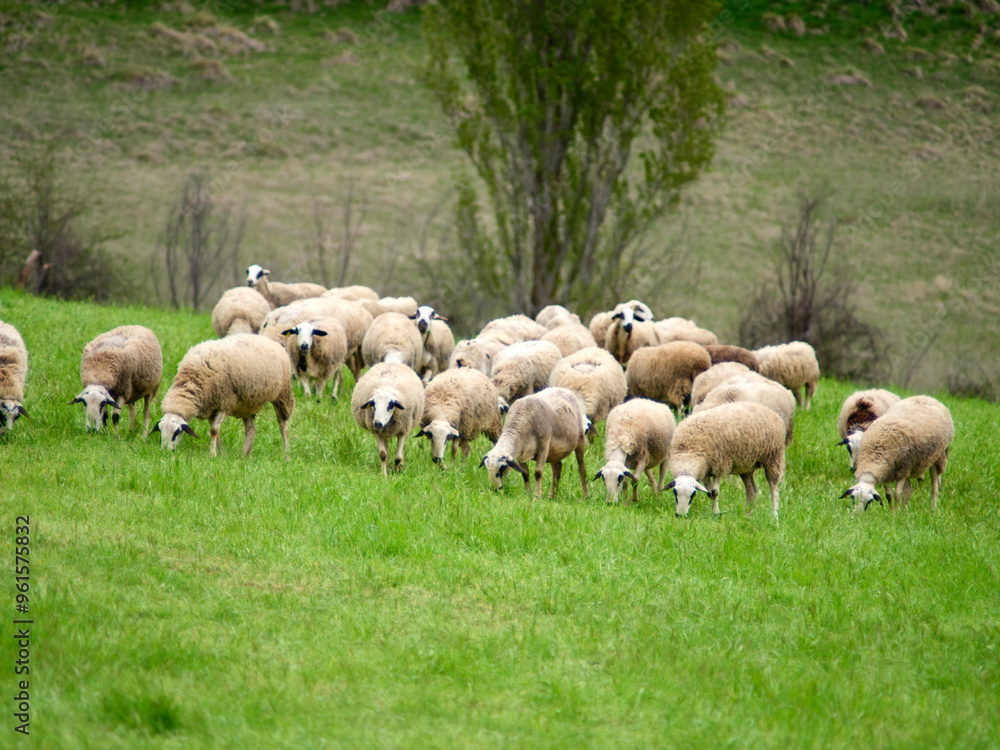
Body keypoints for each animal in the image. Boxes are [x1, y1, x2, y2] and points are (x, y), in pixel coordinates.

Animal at [154, 334, 294, 459]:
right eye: (160, 431)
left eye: (176, 432)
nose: (165, 452)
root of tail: (269, 340)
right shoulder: (211, 407)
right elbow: (216, 432)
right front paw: (222, 454)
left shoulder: (225, 403)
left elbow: (214, 430)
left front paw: (212, 455)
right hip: (247, 403)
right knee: (251, 429)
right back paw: (244, 456)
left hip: (282, 394)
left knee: (284, 427)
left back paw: (287, 456)